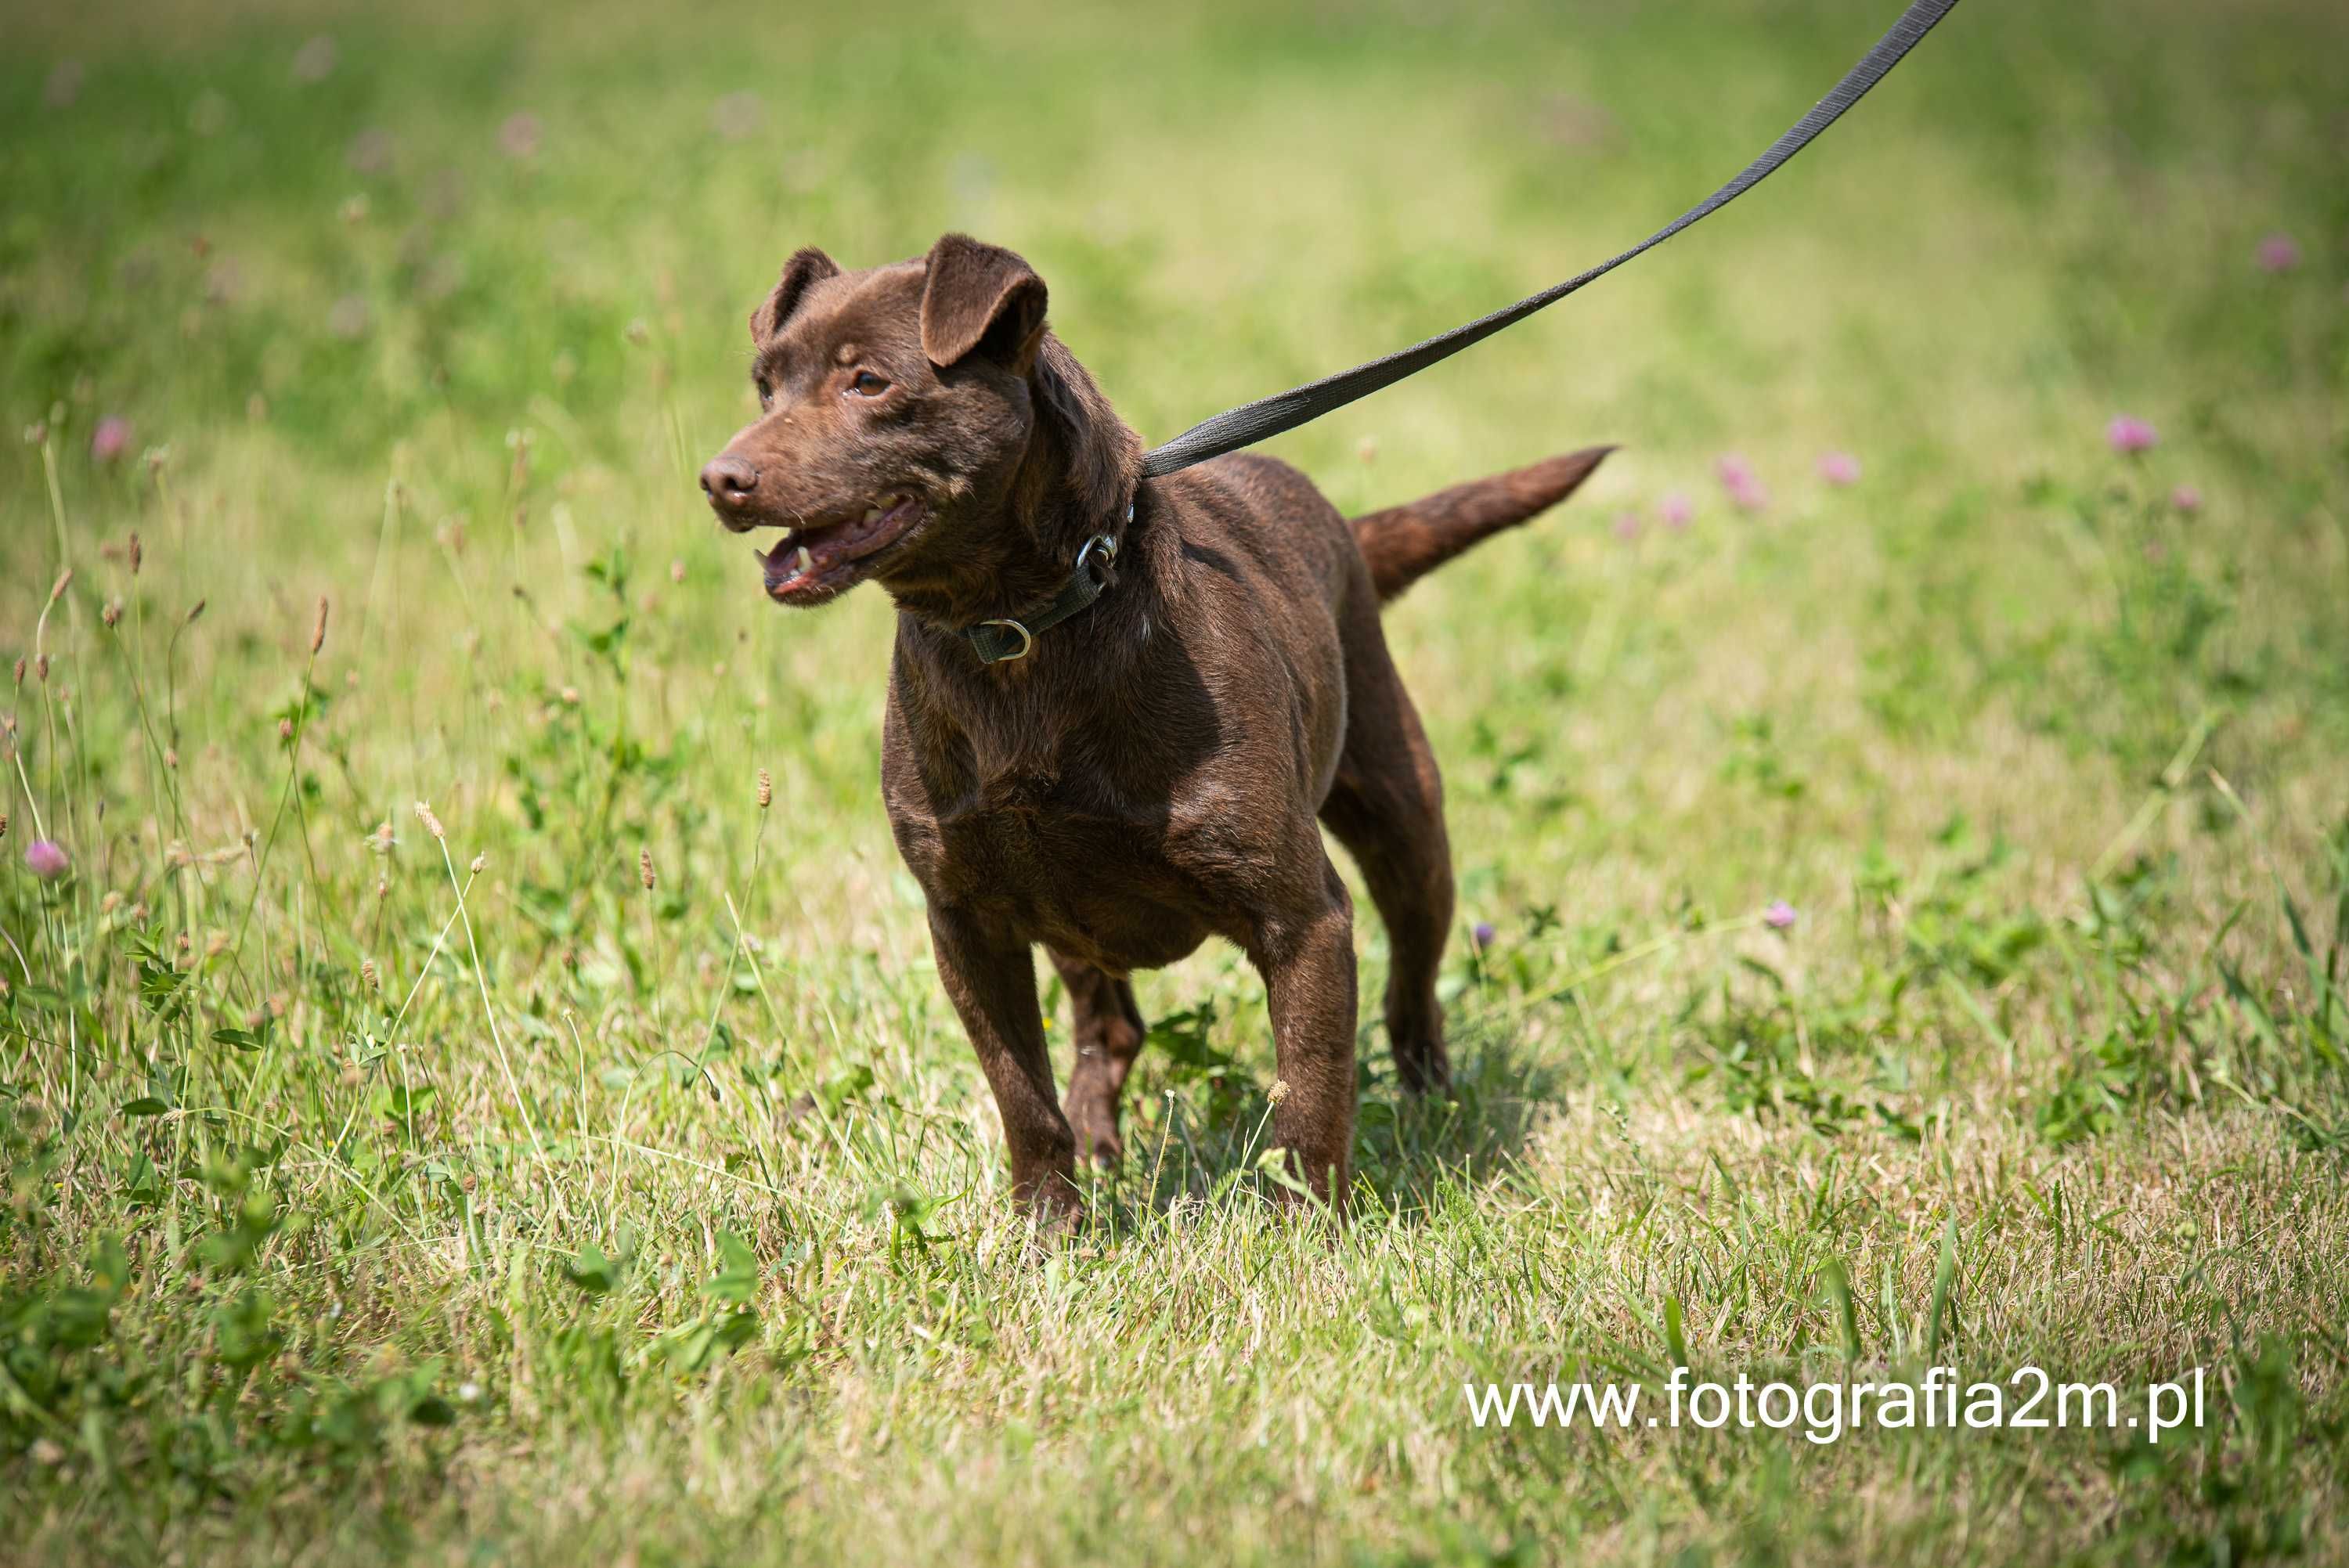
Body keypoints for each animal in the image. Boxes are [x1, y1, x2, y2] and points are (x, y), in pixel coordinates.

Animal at [695, 229, 1607, 1211]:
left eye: (868, 382)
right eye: (764, 384)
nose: (721, 479)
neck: (1017, 630)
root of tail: (1344, 526)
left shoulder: (1303, 917)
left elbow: (1310, 1093)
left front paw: (1311, 1232)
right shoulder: (967, 922)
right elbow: (1023, 1096)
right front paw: (1047, 1227)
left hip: (1405, 820)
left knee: (1414, 979)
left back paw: (1433, 1103)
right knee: (1112, 1032)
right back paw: (1101, 1148)